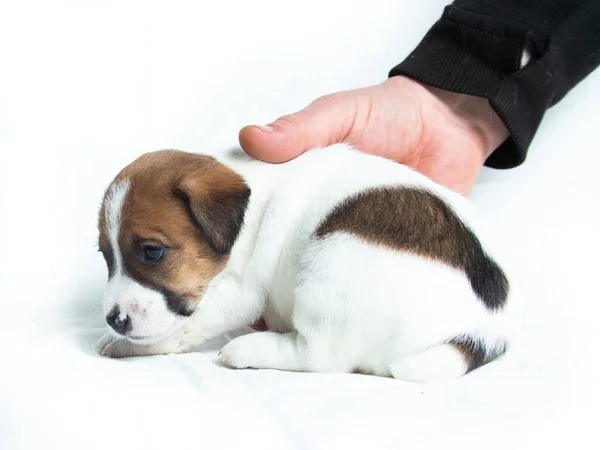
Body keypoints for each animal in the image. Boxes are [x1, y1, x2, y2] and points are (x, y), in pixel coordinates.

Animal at [96, 145, 512, 384]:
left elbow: (177, 327)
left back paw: (249, 349)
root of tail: (483, 333)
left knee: (319, 357)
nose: (114, 320)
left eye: (152, 252)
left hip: (332, 265)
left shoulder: (237, 292)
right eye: (105, 255)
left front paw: (124, 344)